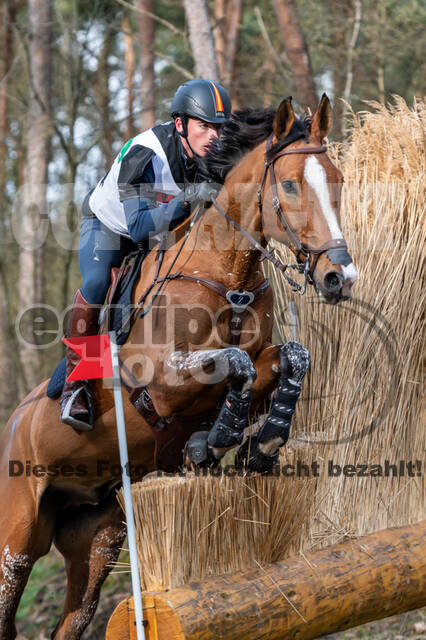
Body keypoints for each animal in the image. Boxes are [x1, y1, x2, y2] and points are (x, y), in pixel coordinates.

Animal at [0, 96, 356, 640]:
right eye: (291, 184)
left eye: (336, 180)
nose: (340, 276)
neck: (228, 274)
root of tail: (14, 420)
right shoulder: (164, 383)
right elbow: (233, 363)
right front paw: (219, 438)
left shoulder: (260, 359)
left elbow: (291, 358)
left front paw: (257, 441)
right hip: (16, 538)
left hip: (98, 536)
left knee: (75, 614)